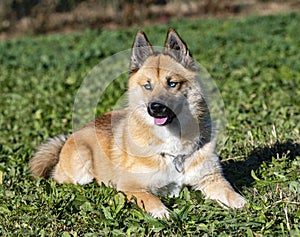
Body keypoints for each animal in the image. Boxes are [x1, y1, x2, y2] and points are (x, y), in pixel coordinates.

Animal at [29, 28, 246, 218]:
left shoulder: (210, 179)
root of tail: (70, 137)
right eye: (147, 86)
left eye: (172, 83)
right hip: (81, 168)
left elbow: (231, 194)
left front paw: (243, 204)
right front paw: (162, 213)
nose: (155, 107)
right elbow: (151, 199)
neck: (172, 146)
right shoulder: (131, 187)